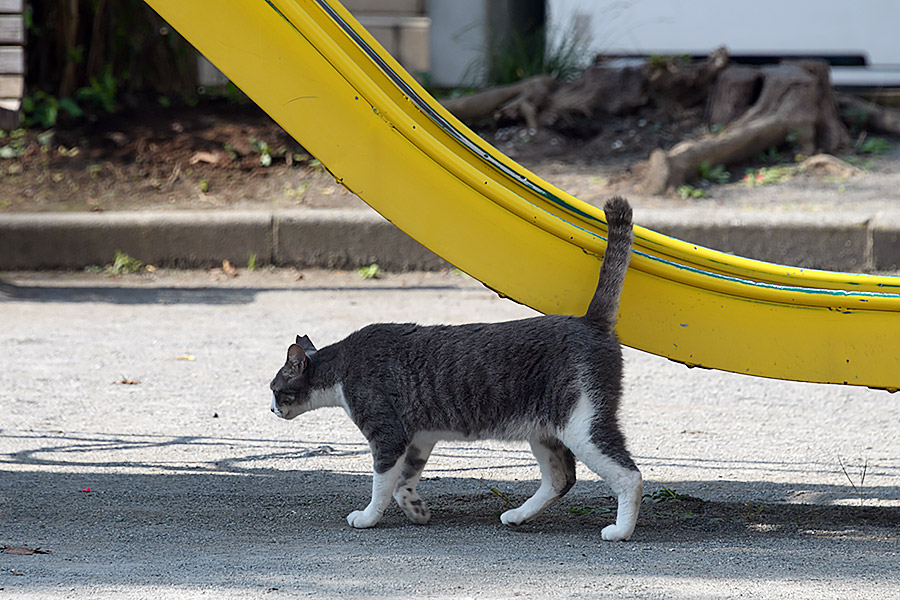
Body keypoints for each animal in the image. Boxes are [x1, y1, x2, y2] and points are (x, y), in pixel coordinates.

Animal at [270, 196, 644, 540]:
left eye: (274, 390)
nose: (271, 409)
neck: (343, 366)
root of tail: (589, 321)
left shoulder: (388, 436)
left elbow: (381, 485)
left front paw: (368, 517)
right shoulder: (419, 439)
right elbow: (403, 483)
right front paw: (415, 509)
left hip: (582, 426)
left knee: (630, 476)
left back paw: (620, 530)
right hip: (544, 431)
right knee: (561, 478)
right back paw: (517, 516)